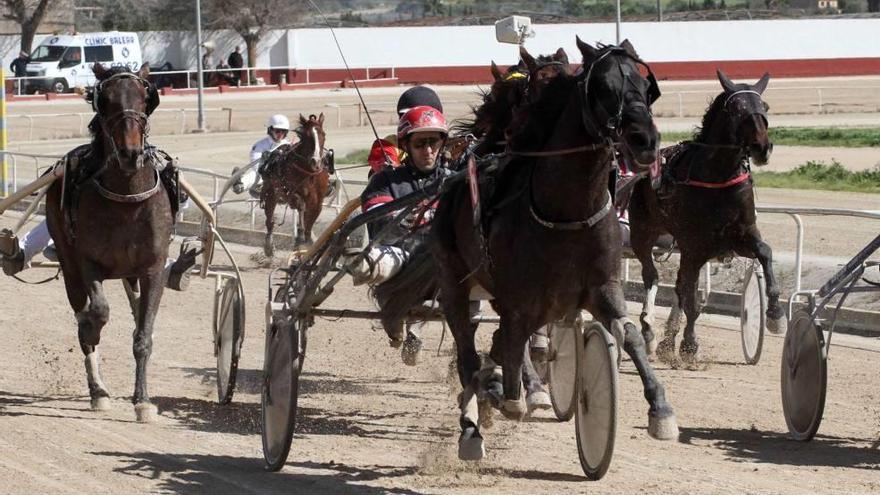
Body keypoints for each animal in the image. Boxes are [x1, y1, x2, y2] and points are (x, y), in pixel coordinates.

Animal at [45, 63, 168, 422]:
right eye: (108, 100)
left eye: (144, 97)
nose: (130, 153)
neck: (127, 198)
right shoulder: (89, 263)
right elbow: (97, 313)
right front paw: (90, 328)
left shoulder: (153, 269)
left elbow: (143, 334)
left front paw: (143, 400)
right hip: (69, 265)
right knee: (82, 309)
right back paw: (97, 389)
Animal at [262, 114, 332, 258]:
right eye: (306, 136)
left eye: (323, 134)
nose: (316, 162)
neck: (309, 172)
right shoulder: (290, 193)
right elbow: (300, 206)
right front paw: (300, 238)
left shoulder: (318, 200)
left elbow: (311, 220)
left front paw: (308, 240)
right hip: (271, 194)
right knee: (270, 220)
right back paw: (269, 246)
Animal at [434, 39, 680, 468]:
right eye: (602, 87)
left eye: (645, 86)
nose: (644, 140)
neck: (568, 211)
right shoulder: (518, 298)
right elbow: (510, 347)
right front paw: (509, 395)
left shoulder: (601, 287)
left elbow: (629, 334)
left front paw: (660, 410)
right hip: (455, 282)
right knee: (469, 353)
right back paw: (473, 424)